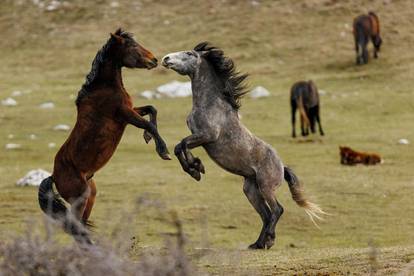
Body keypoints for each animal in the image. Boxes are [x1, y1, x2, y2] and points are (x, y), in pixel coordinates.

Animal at [37, 28, 170, 244]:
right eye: (131, 46)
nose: (154, 60)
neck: (105, 87)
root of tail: (54, 176)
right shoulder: (125, 114)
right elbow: (150, 122)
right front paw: (163, 150)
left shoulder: (130, 111)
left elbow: (152, 109)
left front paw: (147, 137)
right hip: (80, 198)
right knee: (74, 228)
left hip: (91, 195)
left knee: (79, 227)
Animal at [160, 42, 326, 250]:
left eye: (189, 53)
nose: (165, 58)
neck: (210, 104)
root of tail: (282, 167)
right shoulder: (199, 137)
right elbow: (178, 147)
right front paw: (195, 169)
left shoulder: (207, 136)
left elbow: (182, 144)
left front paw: (196, 168)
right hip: (251, 189)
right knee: (266, 214)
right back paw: (257, 244)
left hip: (266, 186)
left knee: (277, 210)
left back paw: (269, 239)